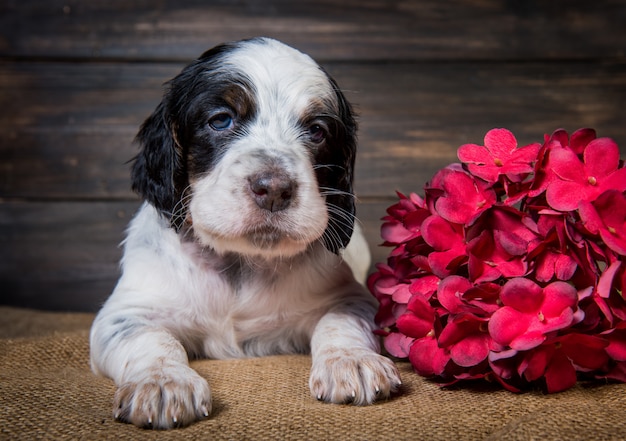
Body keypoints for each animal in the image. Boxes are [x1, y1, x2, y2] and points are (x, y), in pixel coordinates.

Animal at [89, 36, 400, 428]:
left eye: (317, 131)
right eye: (221, 120)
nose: (275, 189)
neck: (240, 261)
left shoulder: (350, 298)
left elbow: (339, 322)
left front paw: (352, 360)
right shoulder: (125, 313)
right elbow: (150, 339)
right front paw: (162, 382)